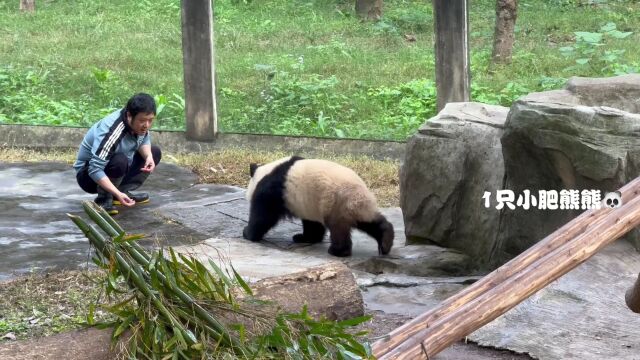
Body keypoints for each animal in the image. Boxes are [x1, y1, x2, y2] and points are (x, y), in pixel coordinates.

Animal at [242, 155, 392, 256]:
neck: (267, 172)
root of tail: (359, 194)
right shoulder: (309, 203)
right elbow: (313, 224)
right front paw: (304, 237)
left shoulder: (273, 191)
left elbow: (264, 215)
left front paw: (248, 233)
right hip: (353, 206)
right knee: (369, 222)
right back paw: (385, 241)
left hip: (336, 202)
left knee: (338, 228)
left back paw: (338, 250)